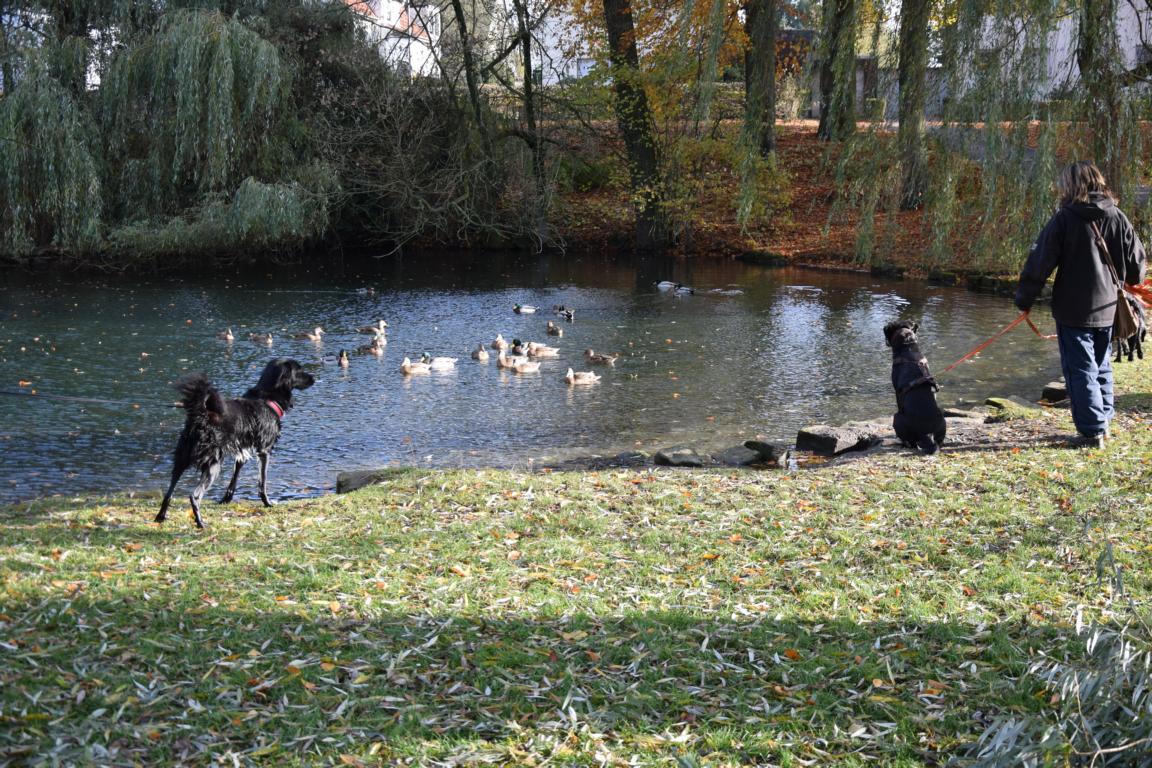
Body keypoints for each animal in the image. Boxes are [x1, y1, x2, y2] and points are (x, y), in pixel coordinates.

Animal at [155, 359, 315, 529]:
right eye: (299, 371)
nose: (314, 378)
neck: (267, 399)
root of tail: (201, 417)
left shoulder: (242, 451)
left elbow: (234, 477)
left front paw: (226, 499)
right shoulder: (264, 450)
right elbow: (262, 481)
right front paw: (267, 503)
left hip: (181, 460)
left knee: (169, 493)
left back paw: (160, 517)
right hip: (213, 464)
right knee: (194, 496)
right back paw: (200, 523)